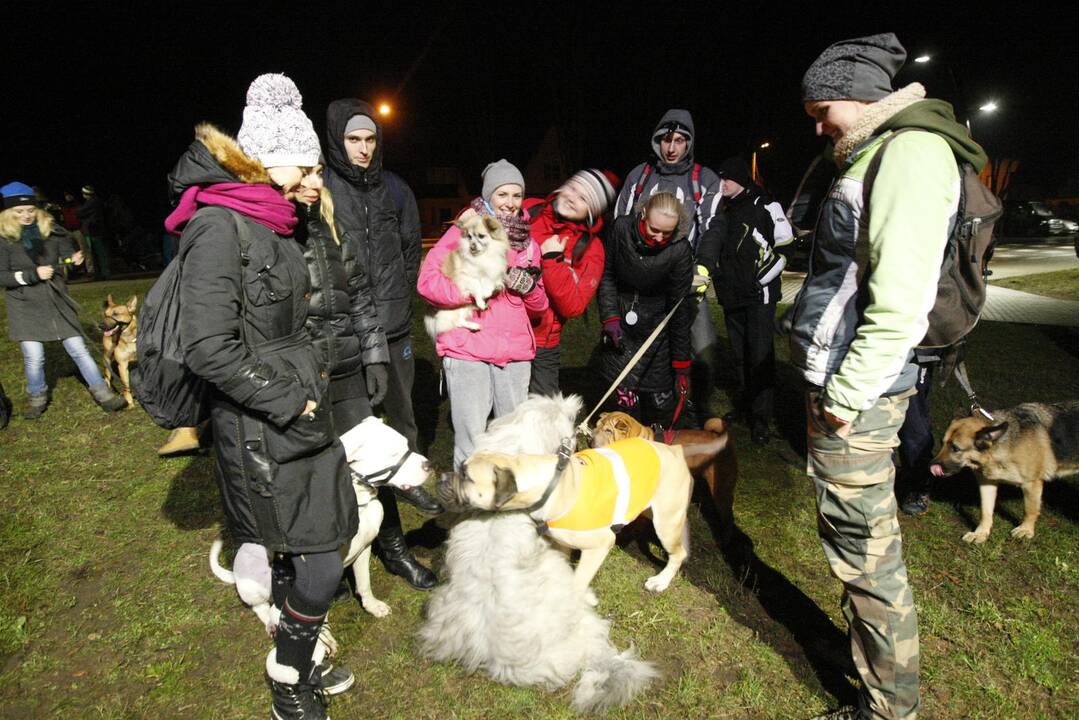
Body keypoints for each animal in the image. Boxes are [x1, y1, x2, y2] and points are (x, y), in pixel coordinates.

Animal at [208, 414, 431, 651]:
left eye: (406, 445)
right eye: (393, 454)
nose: (429, 465)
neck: (358, 502)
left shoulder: (364, 549)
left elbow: (364, 584)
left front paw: (372, 606)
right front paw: (322, 640)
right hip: (254, 583)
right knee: (261, 608)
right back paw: (271, 622)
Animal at [420, 211, 509, 341]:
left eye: (481, 236)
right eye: (469, 237)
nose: (472, 246)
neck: (483, 256)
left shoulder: (493, 273)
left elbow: (489, 284)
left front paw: (489, 292)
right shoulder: (467, 277)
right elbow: (477, 287)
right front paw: (481, 300)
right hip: (457, 307)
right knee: (457, 321)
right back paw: (475, 324)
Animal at [435, 436, 690, 604]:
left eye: (466, 476)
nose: (441, 478)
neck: (550, 486)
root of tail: (674, 450)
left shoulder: (600, 545)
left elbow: (577, 582)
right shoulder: (561, 544)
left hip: (666, 523)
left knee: (679, 554)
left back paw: (661, 581)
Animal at [927, 399, 1079, 539]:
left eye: (955, 448)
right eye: (942, 443)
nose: (931, 466)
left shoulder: (1031, 484)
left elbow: (1029, 510)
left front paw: (1026, 529)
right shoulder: (987, 484)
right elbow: (985, 511)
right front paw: (981, 533)